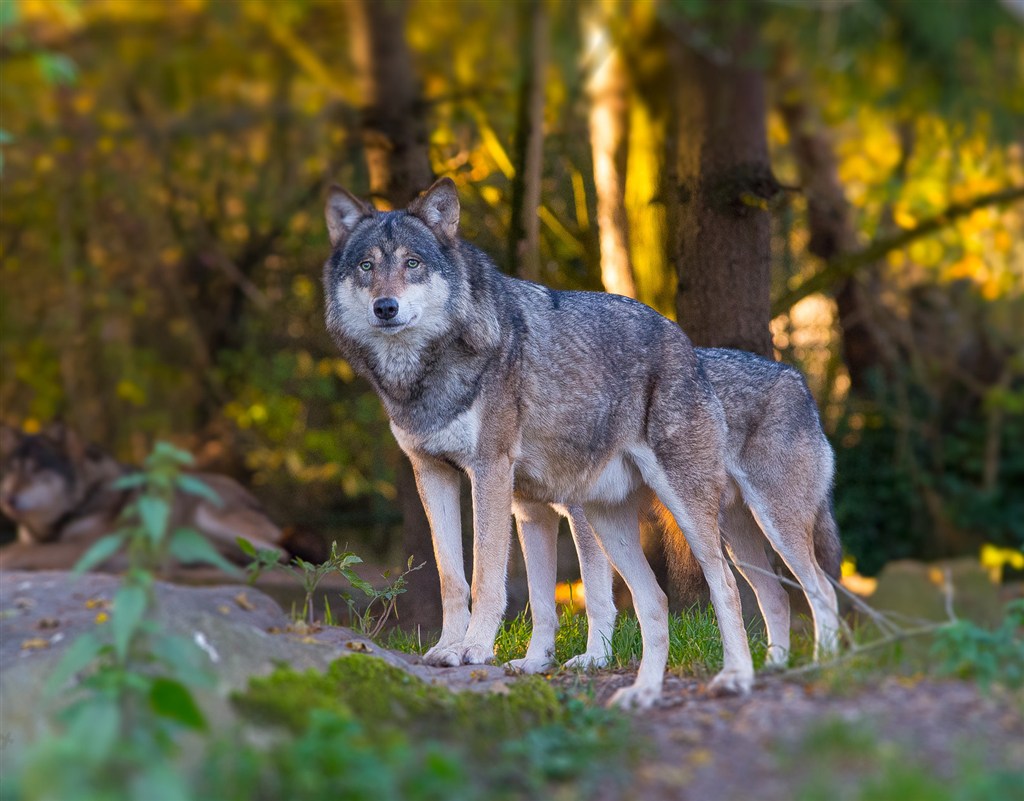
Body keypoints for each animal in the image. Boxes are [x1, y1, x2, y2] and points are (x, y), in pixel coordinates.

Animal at [1, 419, 284, 569]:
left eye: (35, 469)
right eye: (11, 470)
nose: (7, 499)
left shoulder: (86, 547)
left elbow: (17, 553)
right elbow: (18, 547)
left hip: (209, 515)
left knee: (279, 553)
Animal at [323, 177, 757, 708]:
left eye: (412, 263)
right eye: (367, 266)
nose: (386, 308)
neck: (425, 376)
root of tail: (687, 344)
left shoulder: (489, 471)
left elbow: (487, 575)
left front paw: (473, 649)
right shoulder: (433, 473)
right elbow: (454, 577)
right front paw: (449, 648)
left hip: (679, 508)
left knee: (724, 585)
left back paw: (732, 676)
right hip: (590, 511)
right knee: (647, 596)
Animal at [509, 350, 839, 676]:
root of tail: (795, 377)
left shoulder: (583, 514)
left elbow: (596, 597)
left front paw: (595, 658)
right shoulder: (531, 515)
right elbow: (539, 602)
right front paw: (536, 661)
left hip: (775, 530)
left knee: (823, 591)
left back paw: (821, 663)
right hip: (737, 543)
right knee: (777, 596)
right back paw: (772, 667)